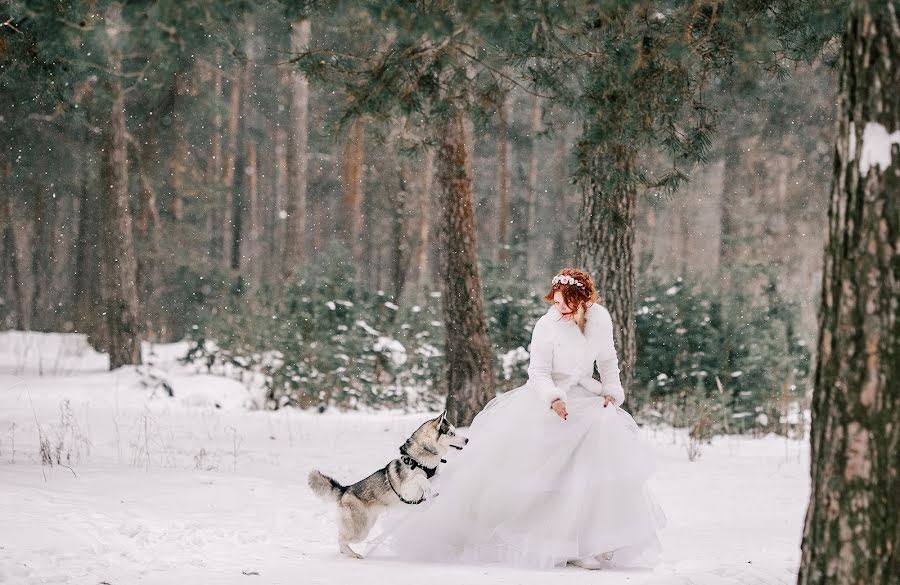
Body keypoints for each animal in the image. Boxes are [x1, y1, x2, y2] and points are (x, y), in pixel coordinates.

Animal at [306, 408, 468, 560]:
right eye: (452, 433)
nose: (467, 439)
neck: (420, 460)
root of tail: (345, 490)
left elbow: (434, 478)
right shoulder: (407, 492)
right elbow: (420, 478)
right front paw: (428, 489)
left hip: (367, 524)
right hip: (360, 530)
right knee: (340, 539)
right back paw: (353, 555)